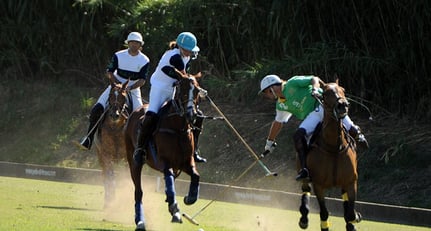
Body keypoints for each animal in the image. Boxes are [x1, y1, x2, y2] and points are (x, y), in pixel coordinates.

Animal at [95, 80, 132, 208]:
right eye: (110, 95)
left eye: (123, 97)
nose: (114, 115)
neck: (115, 128)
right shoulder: (106, 155)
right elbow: (110, 177)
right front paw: (110, 200)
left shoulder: (126, 158)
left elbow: (127, 177)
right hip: (100, 156)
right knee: (105, 175)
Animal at [125, 71, 202, 230]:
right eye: (183, 90)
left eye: (197, 91)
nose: (192, 114)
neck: (178, 128)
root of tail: (135, 111)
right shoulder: (164, 162)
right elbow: (169, 181)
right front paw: (175, 210)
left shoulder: (186, 162)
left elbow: (196, 176)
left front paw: (190, 198)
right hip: (133, 163)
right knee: (138, 192)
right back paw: (140, 221)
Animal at [296, 80, 362, 231]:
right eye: (326, 93)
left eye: (343, 89)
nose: (343, 104)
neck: (334, 147)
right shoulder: (319, 185)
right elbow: (324, 213)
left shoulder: (351, 181)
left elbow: (350, 213)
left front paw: (355, 217)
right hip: (304, 174)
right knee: (305, 188)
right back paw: (304, 218)